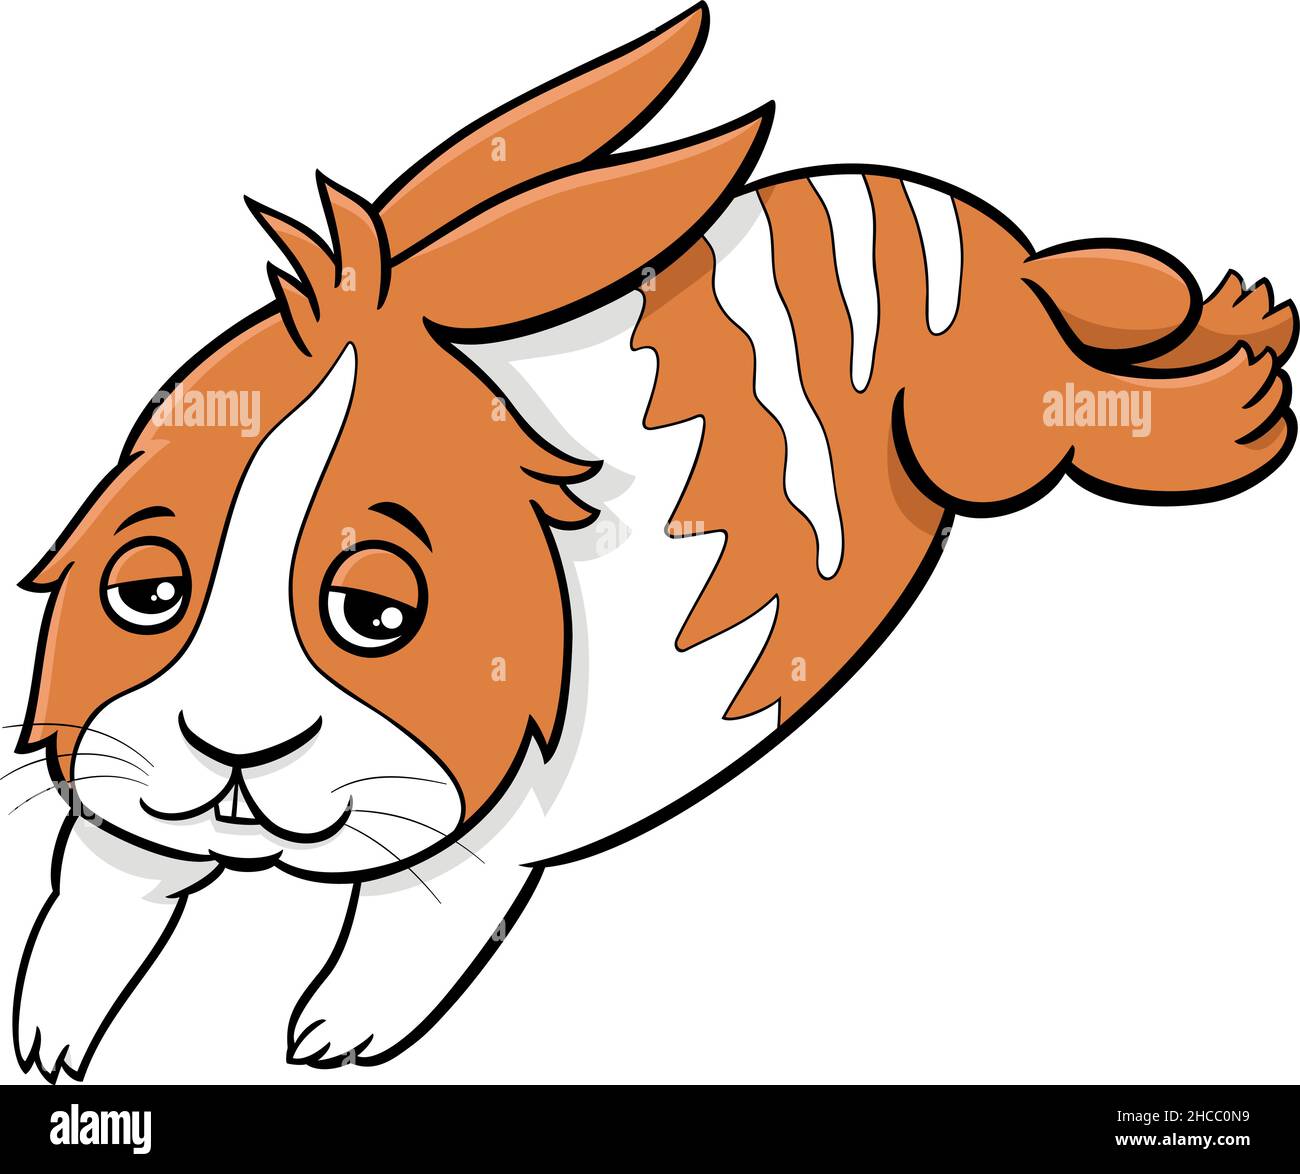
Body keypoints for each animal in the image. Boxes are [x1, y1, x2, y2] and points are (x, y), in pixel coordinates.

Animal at [10, 3, 1294, 1080]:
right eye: (143, 592)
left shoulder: (479, 848)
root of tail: (983, 233)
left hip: (967, 430)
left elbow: (405, 934)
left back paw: (1238, 378)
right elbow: (97, 896)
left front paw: (333, 1035)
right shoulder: (128, 782)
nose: (234, 745)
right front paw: (50, 1039)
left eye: (376, 615)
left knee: (1055, 409)